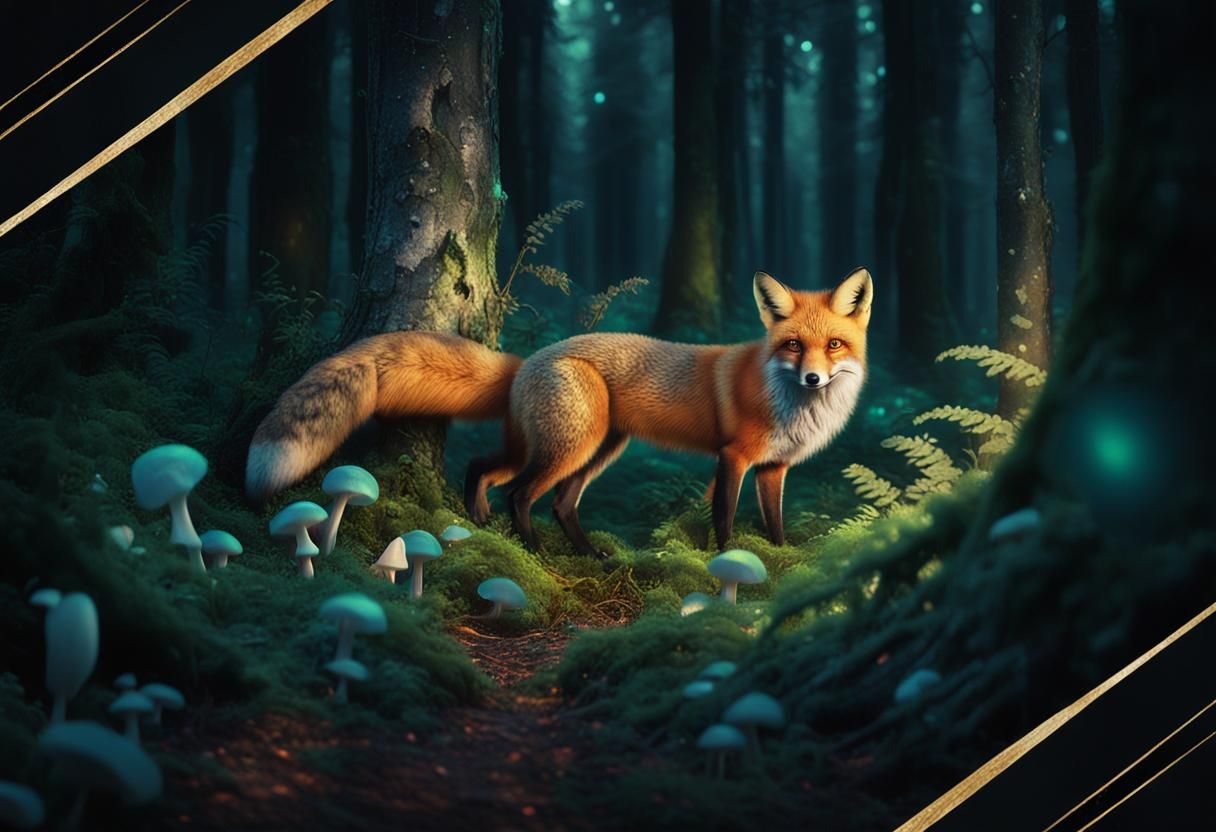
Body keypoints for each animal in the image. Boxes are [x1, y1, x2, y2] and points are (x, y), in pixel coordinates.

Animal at [246, 268, 873, 557]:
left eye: (833, 345)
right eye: (792, 345)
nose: (814, 378)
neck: (793, 407)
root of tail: (527, 360)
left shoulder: (775, 468)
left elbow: (776, 523)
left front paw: (782, 557)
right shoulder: (734, 458)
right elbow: (723, 515)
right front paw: (729, 558)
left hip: (595, 448)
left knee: (514, 482)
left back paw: (553, 542)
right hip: (573, 445)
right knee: (521, 491)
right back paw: (530, 547)